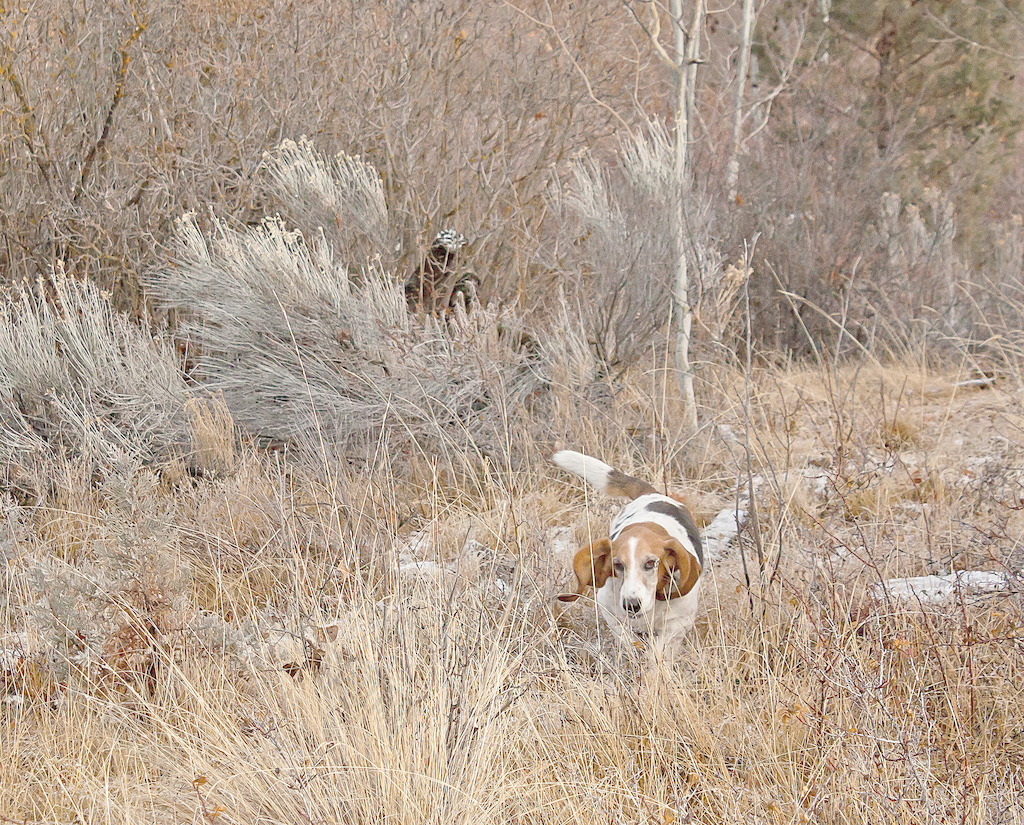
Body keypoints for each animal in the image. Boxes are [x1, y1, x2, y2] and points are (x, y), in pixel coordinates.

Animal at [552, 448, 704, 655]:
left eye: (650, 563)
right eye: (617, 564)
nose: (631, 605)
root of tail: (651, 494)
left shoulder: (677, 625)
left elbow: (657, 654)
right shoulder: (611, 613)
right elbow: (627, 640)